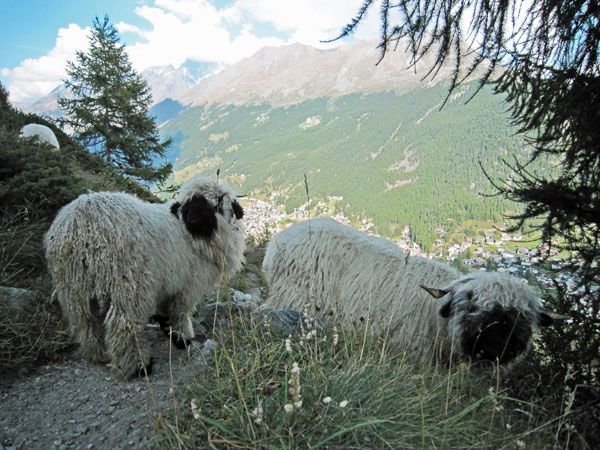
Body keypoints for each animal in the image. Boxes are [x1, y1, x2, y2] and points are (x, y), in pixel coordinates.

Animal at [43, 175, 246, 376]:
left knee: (86, 323)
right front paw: (182, 338)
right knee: (123, 326)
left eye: (213, 204)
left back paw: (97, 354)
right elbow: (180, 313)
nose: (193, 220)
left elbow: (165, 310)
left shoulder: (168, 283)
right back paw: (140, 366)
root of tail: (81, 223)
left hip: (74, 290)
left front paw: (167, 328)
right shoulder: (187, 286)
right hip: (127, 284)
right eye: (190, 205)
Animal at [264, 218, 560, 366]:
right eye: (473, 307)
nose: (499, 348)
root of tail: (279, 239)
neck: (436, 318)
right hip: (293, 299)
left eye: (524, 318)